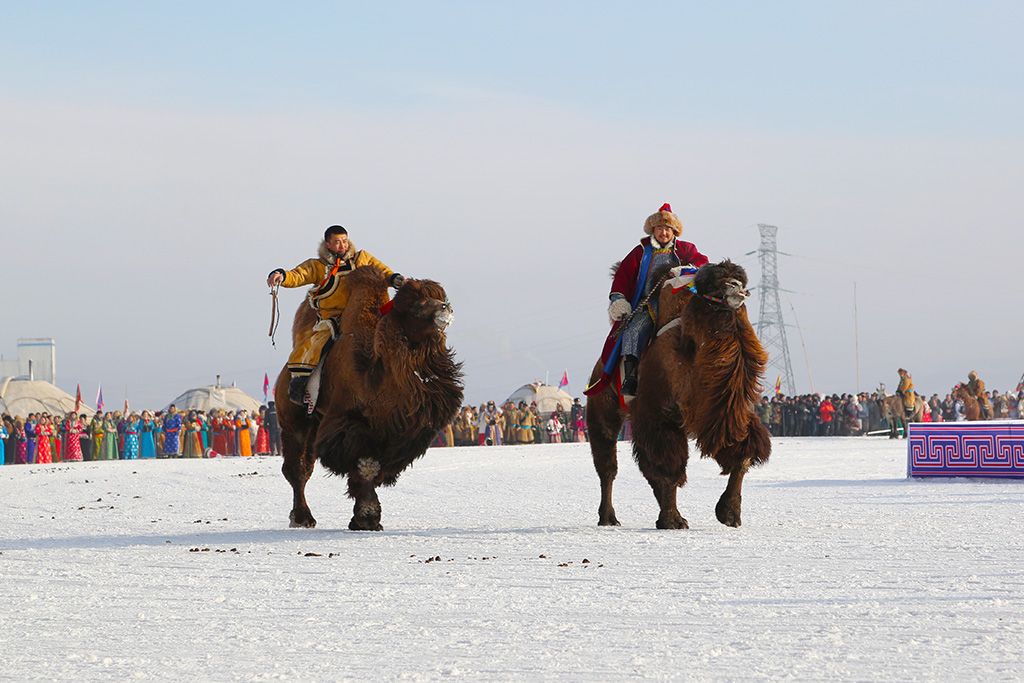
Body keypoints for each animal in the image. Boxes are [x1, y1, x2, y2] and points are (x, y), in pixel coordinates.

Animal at [274, 266, 462, 528]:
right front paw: (368, 516)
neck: (374, 373)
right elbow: (367, 465)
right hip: (294, 420)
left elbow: (375, 468)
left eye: (438, 296)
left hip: (315, 419)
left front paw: (364, 518)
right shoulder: (347, 424)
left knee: (305, 465)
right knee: (297, 468)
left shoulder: (394, 435)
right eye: (415, 306)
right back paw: (302, 518)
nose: (446, 307)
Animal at [585, 259, 770, 532]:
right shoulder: (659, 414)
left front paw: (729, 513)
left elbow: (743, 453)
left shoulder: (724, 414)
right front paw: (672, 520)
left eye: (741, 279)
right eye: (714, 285)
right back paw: (608, 517)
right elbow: (667, 469)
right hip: (602, 406)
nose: (736, 287)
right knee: (608, 466)